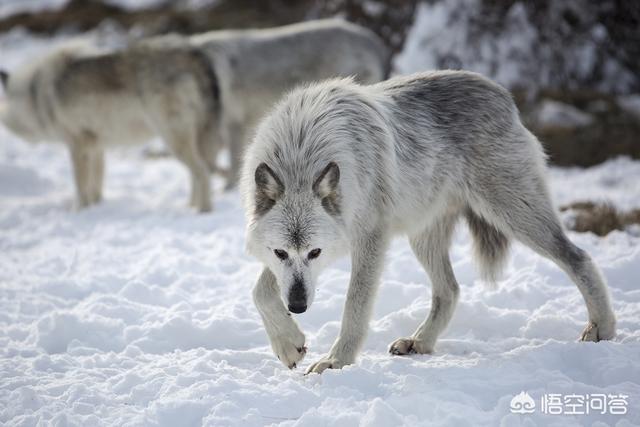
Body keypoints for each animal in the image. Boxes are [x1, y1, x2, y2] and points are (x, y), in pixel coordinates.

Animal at [0, 19, 388, 211]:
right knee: (200, 173)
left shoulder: (77, 144)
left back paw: (200, 211)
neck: (36, 91)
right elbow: (95, 185)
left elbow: (81, 187)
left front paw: (80, 212)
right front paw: (95, 208)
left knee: (201, 172)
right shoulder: (95, 147)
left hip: (174, 137)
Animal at [240, 70, 616, 374]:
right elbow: (259, 291)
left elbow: (354, 307)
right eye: (280, 253)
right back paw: (420, 343)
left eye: (314, 253)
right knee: (450, 290)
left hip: (513, 214)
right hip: (423, 237)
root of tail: (502, 93)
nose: (298, 306)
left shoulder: (370, 240)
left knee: (578, 257)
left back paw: (602, 328)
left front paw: (336, 361)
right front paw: (288, 345)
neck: (302, 148)